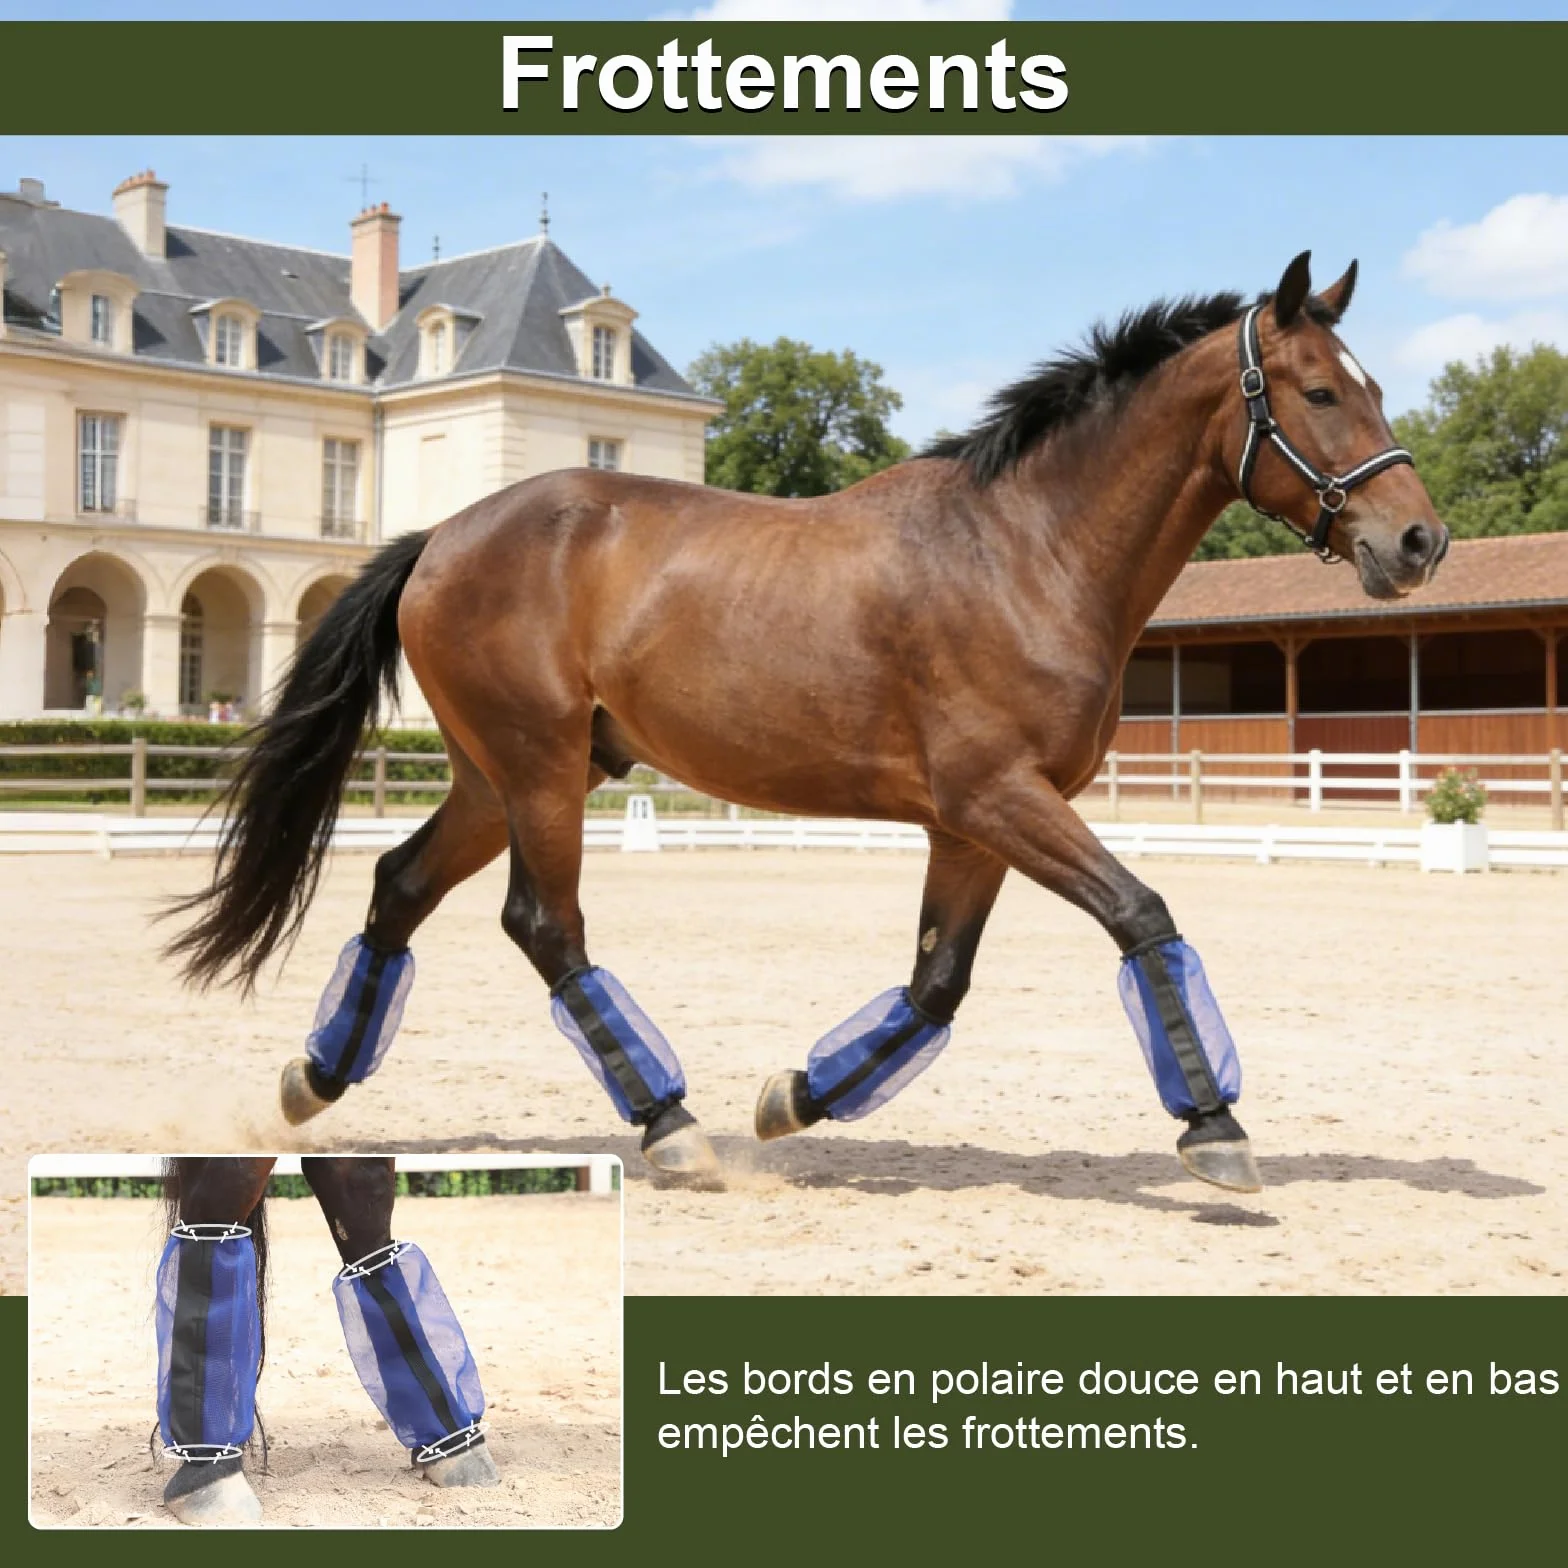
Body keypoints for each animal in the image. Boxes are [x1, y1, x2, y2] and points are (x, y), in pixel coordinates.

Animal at [167, 251, 1446, 1195]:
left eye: (1374, 387)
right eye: (1320, 392)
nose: (1417, 541)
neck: (1027, 551)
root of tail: (442, 534)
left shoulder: (970, 825)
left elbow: (935, 984)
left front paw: (791, 1098)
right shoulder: (999, 796)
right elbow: (1140, 913)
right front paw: (1214, 1127)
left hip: (504, 774)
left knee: (399, 886)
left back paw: (311, 1081)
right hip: (536, 769)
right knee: (544, 924)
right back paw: (668, 1125)